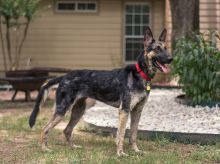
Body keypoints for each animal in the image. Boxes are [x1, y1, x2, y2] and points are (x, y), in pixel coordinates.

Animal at [29, 26, 173, 156]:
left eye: (166, 48)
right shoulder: (124, 110)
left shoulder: (137, 111)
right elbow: (121, 135)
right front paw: (120, 153)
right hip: (63, 110)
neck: (140, 74)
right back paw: (45, 149)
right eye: (157, 49)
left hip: (78, 111)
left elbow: (133, 134)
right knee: (44, 129)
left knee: (66, 130)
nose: (171, 59)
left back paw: (73, 147)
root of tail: (64, 76)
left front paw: (136, 151)